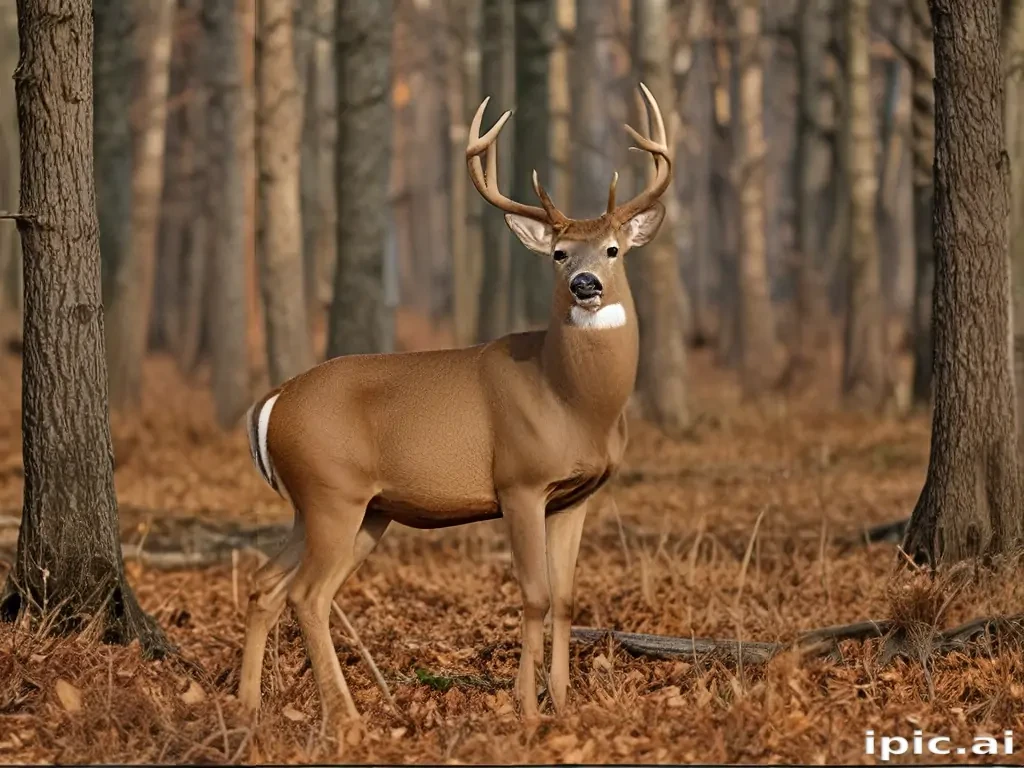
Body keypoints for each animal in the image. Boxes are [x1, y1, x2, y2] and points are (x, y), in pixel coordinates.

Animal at [237, 83, 672, 736]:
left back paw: (246, 706)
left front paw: (564, 703)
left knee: (268, 583)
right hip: (331, 492)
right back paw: (346, 719)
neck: (572, 401)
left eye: (614, 249)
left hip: (344, 508)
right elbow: (535, 595)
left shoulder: (576, 495)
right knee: (306, 594)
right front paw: (526, 709)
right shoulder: (519, 481)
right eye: (559, 254)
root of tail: (273, 400)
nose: (587, 284)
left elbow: (567, 598)